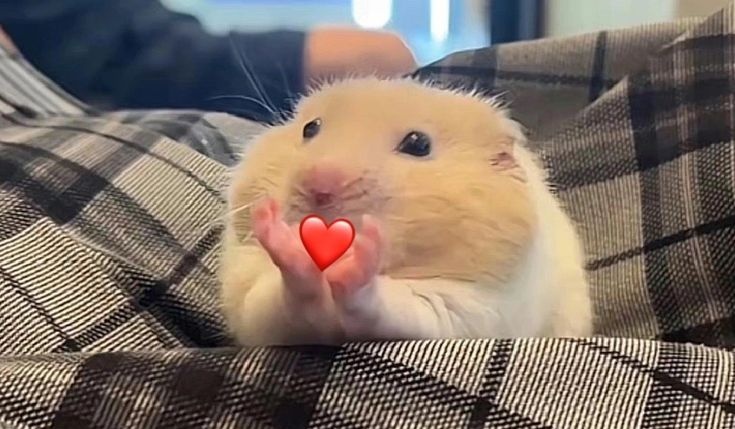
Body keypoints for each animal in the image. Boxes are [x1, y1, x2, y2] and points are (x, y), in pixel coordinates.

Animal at [219, 77, 593, 346]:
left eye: (418, 144)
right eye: (310, 128)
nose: (318, 186)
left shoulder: (469, 308)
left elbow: (391, 304)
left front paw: (361, 255)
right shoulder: (256, 304)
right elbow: (284, 298)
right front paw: (283, 237)